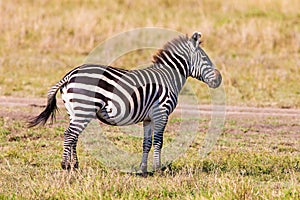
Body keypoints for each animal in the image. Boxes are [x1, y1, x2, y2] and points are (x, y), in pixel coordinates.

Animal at [28, 31, 221, 173]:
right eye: (206, 59)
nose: (219, 80)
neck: (169, 77)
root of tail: (69, 75)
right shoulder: (161, 112)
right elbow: (159, 141)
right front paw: (159, 169)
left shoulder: (148, 118)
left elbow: (147, 143)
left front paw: (144, 170)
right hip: (84, 109)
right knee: (70, 135)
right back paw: (66, 167)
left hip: (74, 110)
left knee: (73, 136)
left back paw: (74, 165)